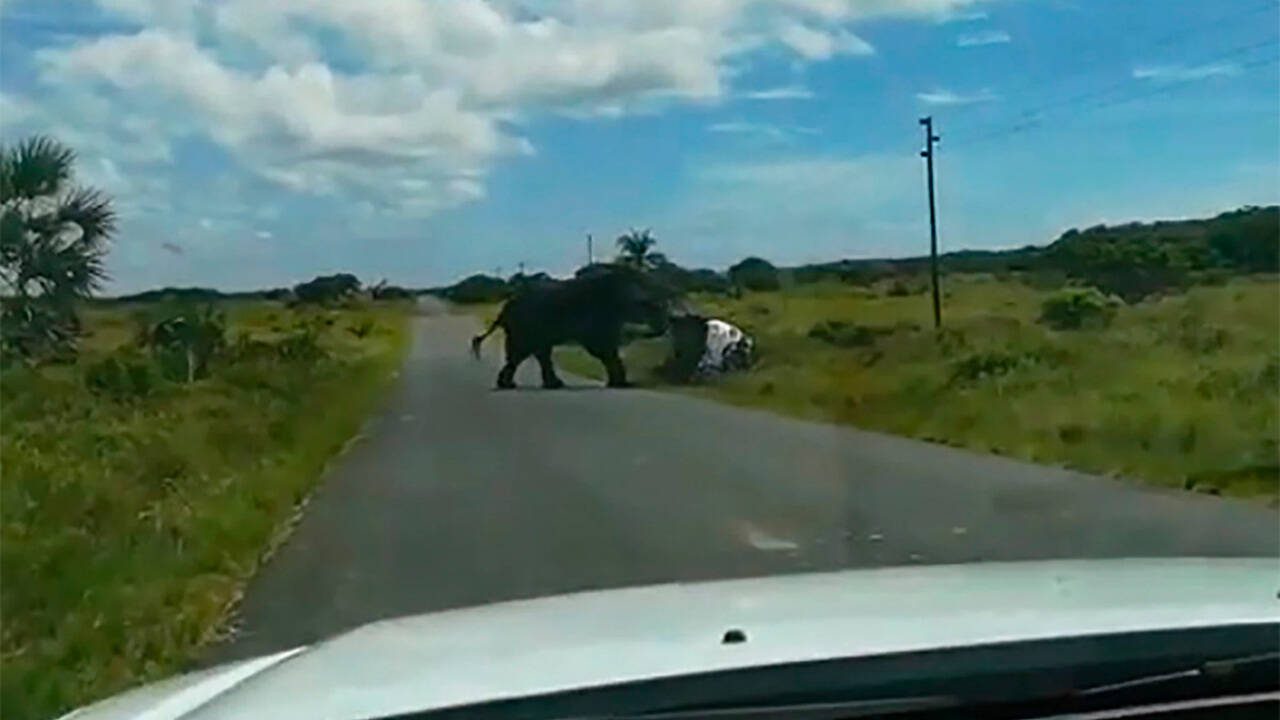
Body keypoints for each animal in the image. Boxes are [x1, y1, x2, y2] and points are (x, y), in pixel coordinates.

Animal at [476, 262, 675, 386]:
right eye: (654, 308)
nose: (662, 329)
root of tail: (505, 308)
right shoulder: (599, 314)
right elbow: (601, 348)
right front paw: (623, 384)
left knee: (533, 353)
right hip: (526, 325)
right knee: (523, 352)